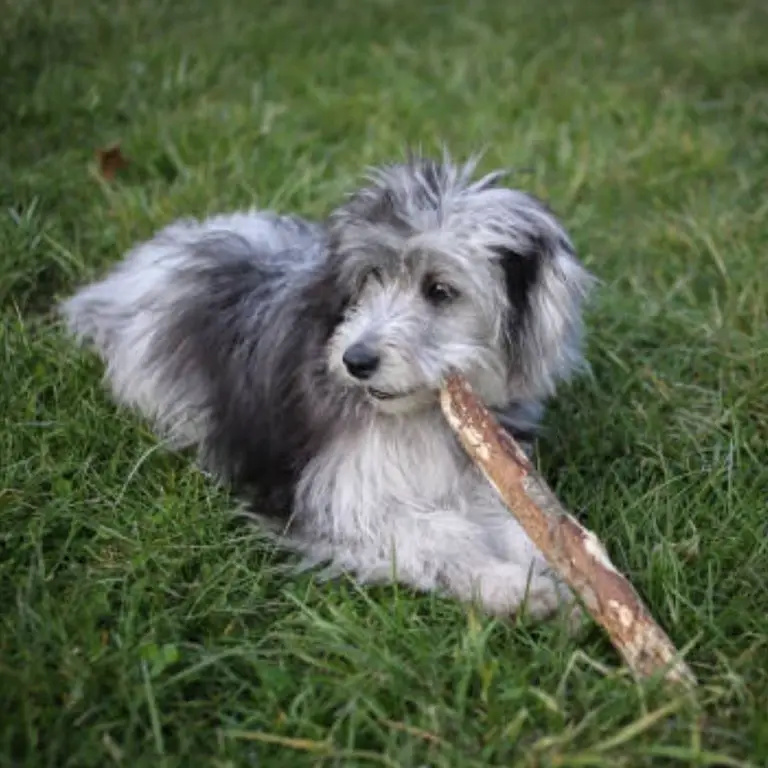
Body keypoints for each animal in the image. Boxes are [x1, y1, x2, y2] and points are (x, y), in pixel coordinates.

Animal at [63, 150, 596, 624]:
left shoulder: (485, 476)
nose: (355, 360)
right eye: (371, 277)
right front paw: (509, 586)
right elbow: (435, 533)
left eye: (440, 291)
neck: (418, 416)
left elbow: (523, 528)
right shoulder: (335, 497)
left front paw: (567, 585)